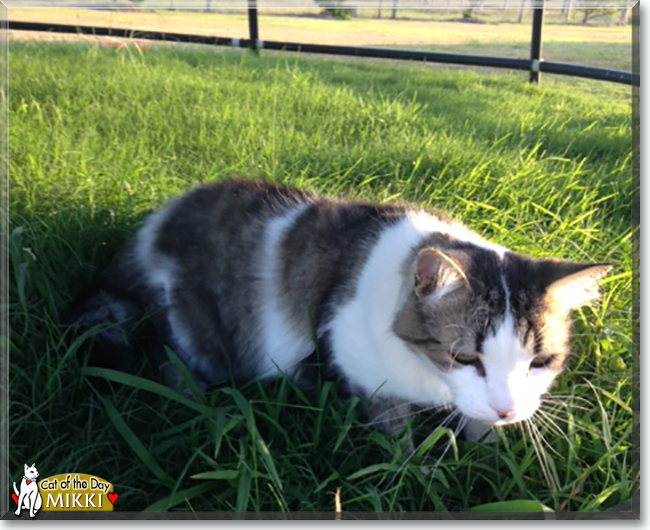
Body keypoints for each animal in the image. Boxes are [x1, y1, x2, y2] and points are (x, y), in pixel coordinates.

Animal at [68, 177, 612, 446]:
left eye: (540, 363)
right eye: (465, 359)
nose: (508, 409)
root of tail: (148, 229)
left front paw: (485, 445)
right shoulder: (359, 362)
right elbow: (395, 433)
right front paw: (413, 468)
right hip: (187, 323)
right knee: (167, 359)